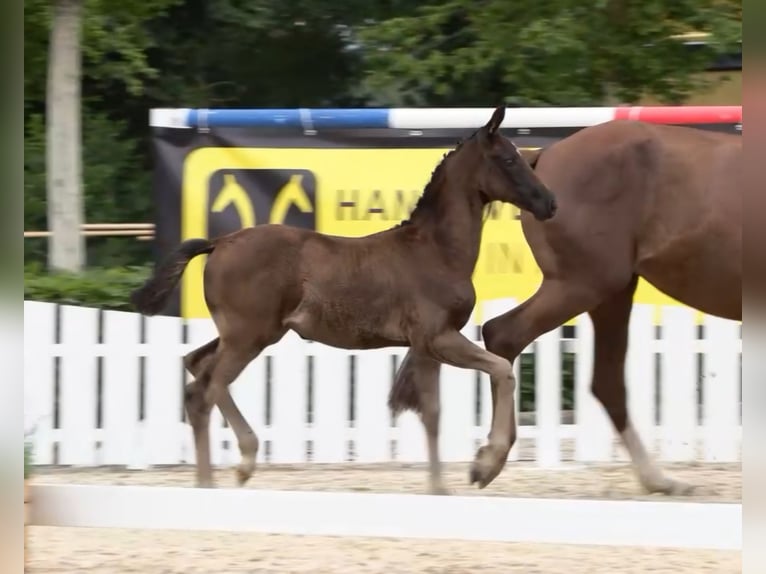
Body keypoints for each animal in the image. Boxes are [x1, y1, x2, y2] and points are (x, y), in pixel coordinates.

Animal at [130, 106, 558, 491]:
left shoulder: (427, 346)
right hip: (249, 337)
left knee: (195, 372)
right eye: (509, 159)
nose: (549, 203)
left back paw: (211, 479)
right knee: (209, 388)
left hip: (241, 334)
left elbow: (433, 412)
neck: (435, 250)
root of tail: (220, 242)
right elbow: (500, 370)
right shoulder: (437, 338)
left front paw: (443, 487)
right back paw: (240, 465)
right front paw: (485, 466)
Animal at [390, 118, 742, 494]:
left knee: (605, 381)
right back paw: (490, 460)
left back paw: (658, 480)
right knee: (504, 334)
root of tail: (544, 156)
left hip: (610, 292)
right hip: (584, 285)